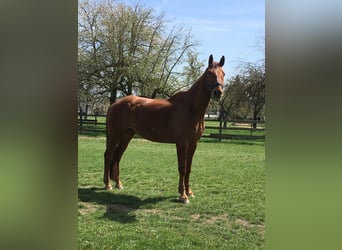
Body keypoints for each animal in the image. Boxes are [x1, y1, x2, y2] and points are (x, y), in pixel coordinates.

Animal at [103, 54, 226, 203]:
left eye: (223, 74)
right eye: (209, 73)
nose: (218, 93)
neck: (191, 108)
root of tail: (114, 104)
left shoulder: (193, 143)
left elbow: (189, 168)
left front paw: (189, 192)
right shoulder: (182, 143)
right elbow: (182, 168)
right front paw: (183, 196)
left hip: (126, 136)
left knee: (117, 157)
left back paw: (118, 184)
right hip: (115, 135)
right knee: (109, 156)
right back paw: (107, 185)